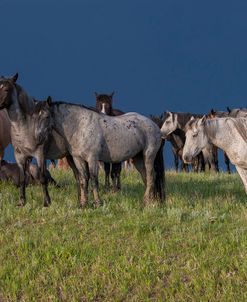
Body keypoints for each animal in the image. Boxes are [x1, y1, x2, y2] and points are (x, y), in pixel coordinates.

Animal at [0, 75, 166, 208]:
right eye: (33, 116)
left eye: (46, 116)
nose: (39, 138)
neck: (80, 126)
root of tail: (155, 125)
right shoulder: (78, 159)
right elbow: (83, 180)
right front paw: (83, 204)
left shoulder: (91, 158)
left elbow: (93, 179)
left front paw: (97, 202)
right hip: (137, 158)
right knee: (147, 177)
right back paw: (150, 200)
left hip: (148, 155)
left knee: (151, 175)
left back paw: (147, 201)